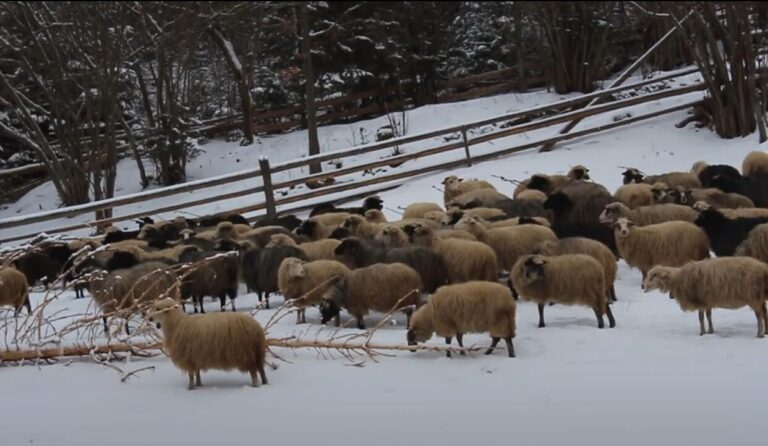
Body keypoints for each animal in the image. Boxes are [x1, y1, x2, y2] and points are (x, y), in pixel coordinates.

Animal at [640, 258, 768, 338]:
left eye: (653, 276)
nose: (642, 286)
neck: (678, 279)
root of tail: (763, 268)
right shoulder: (707, 301)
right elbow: (708, 316)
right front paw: (711, 331)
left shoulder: (700, 301)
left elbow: (700, 318)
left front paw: (702, 333)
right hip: (759, 296)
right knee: (764, 312)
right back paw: (766, 332)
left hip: (753, 296)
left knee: (759, 315)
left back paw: (759, 334)